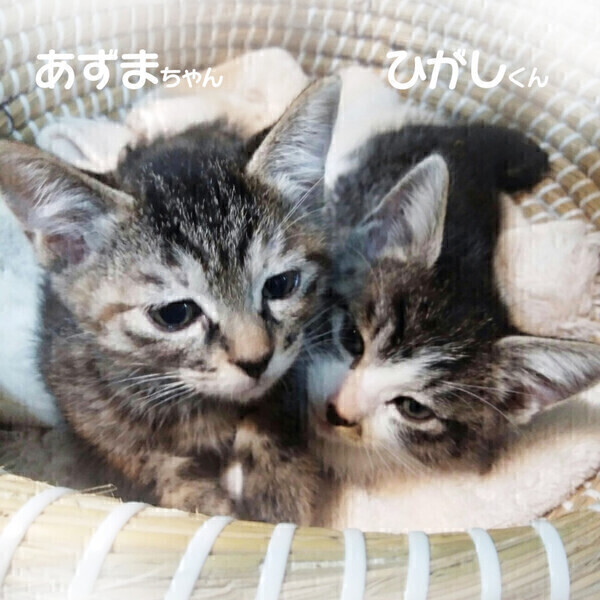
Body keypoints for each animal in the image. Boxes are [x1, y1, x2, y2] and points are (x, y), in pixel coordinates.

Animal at [0, 76, 342, 524]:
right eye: (176, 314)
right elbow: (147, 461)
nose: (256, 361)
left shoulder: (300, 351)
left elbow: (280, 402)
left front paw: (280, 484)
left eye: (281, 285)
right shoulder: (82, 397)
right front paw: (204, 504)